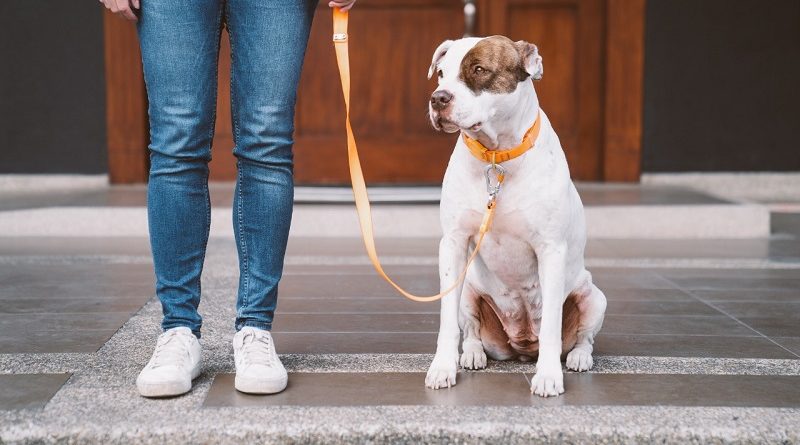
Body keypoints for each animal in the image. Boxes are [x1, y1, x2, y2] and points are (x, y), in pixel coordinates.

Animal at [424, 35, 608, 396]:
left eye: (479, 70)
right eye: (440, 73)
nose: (438, 98)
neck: (497, 155)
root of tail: (522, 347)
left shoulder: (550, 250)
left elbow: (550, 324)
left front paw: (549, 375)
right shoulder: (452, 244)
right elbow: (447, 320)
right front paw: (442, 367)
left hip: (594, 296)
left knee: (584, 338)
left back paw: (578, 358)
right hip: (471, 290)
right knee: (472, 330)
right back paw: (472, 354)